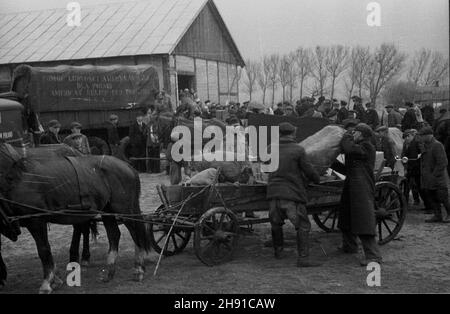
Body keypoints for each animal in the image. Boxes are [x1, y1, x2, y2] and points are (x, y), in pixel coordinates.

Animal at [0, 143, 151, 294]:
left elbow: (43, 250)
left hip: (124, 208)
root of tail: (128, 166)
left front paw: (47, 282)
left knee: (136, 232)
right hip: (107, 210)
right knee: (114, 235)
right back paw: (109, 271)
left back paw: (138, 268)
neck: (16, 183)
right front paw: (55, 279)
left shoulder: (36, 221)